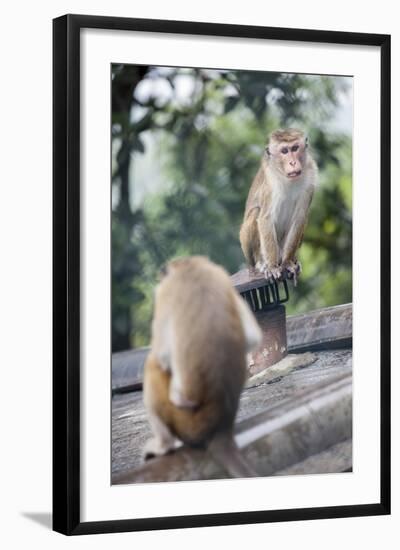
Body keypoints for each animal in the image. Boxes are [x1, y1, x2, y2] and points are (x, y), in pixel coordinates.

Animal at [144, 256, 262, 476]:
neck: (189, 267)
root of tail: (222, 426)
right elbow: (253, 338)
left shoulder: (165, 291)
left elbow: (161, 356)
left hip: (186, 422)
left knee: (153, 367)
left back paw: (163, 446)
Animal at [239, 129, 318, 284]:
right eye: (284, 151)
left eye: (295, 148)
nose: (293, 162)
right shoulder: (270, 183)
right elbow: (265, 218)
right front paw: (272, 267)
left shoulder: (310, 177)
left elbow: (300, 218)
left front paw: (287, 263)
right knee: (256, 212)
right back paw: (262, 264)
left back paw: (291, 260)